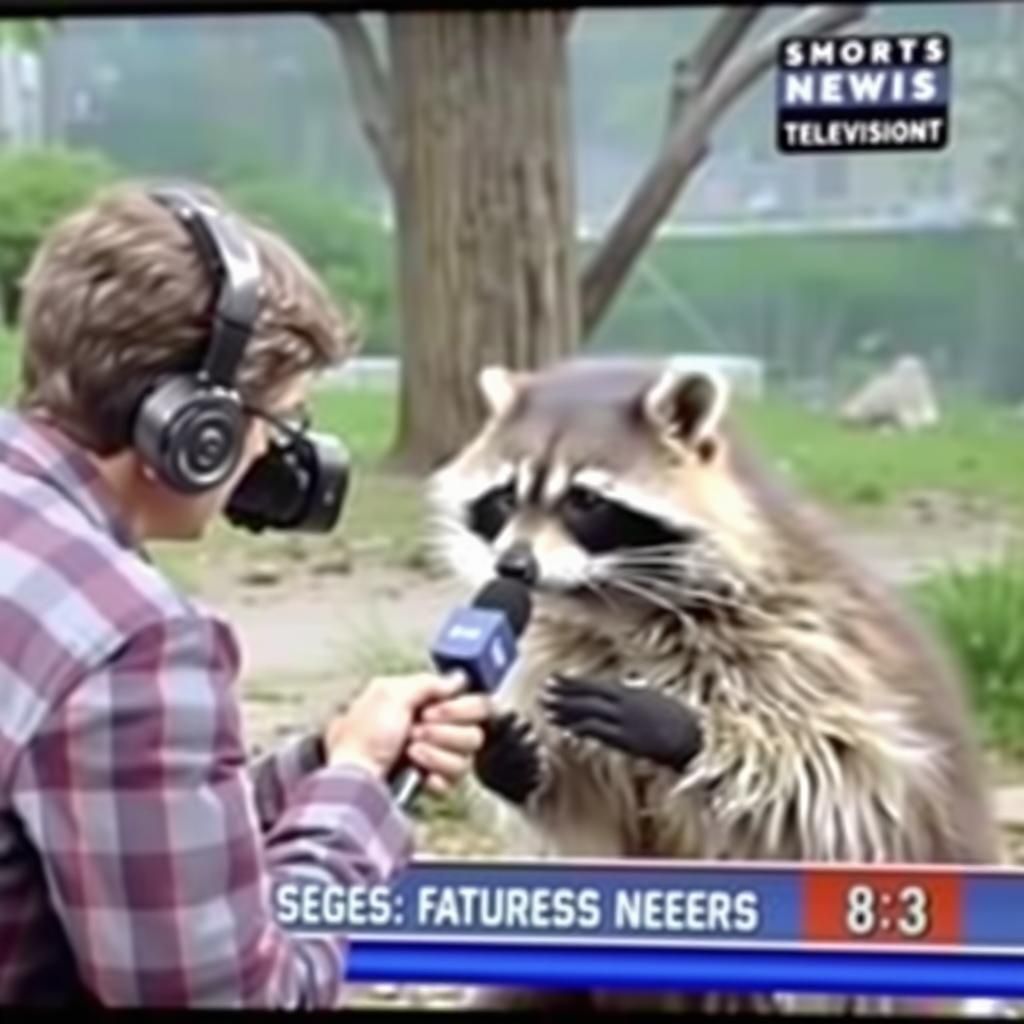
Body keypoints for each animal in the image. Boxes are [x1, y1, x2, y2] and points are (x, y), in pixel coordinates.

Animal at [427, 356, 1005, 1014]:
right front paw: (511, 761)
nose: (513, 568)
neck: (613, 605)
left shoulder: (810, 646)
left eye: (584, 500)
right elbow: (590, 812)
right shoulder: (549, 650)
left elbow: (850, 788)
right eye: (505, 496)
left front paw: (680, 731)